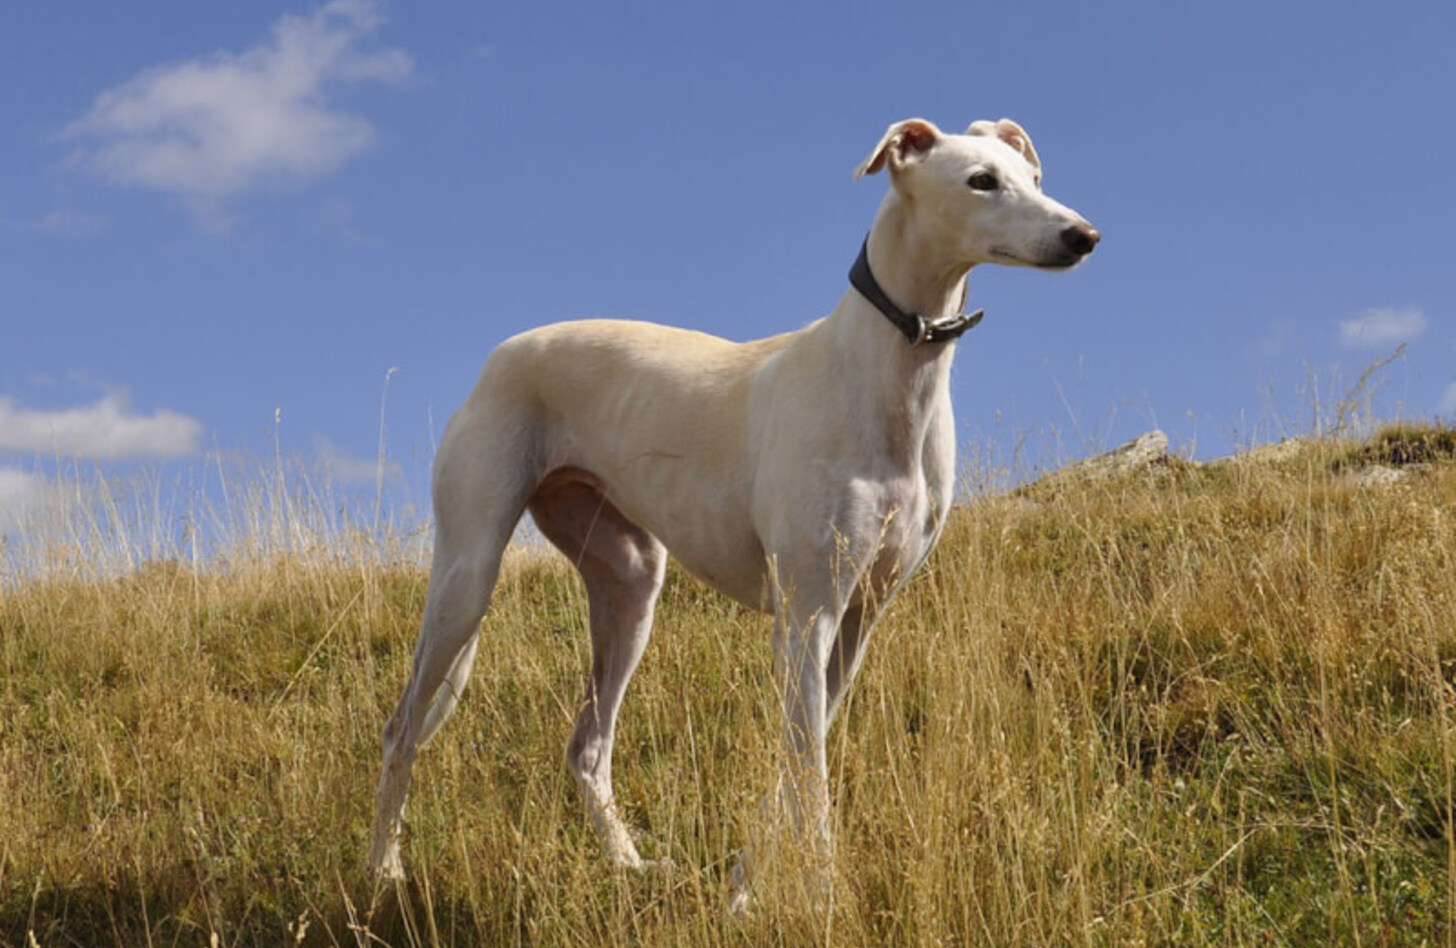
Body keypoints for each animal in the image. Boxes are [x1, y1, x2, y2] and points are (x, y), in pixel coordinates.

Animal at [369, 116, 1094, 897]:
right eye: (981, 181)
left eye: (1035, 178)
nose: (1084, 235)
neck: (888, 372)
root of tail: (501, 354)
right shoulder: (806, 617)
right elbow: (809, 772)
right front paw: (822, 895)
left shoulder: (857, 622)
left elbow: (792, 762)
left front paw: (747, 887)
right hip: (467, 576)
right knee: (401, 729)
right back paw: (383, 869)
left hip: (630, 586)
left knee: (587, 747)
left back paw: (627, 862)